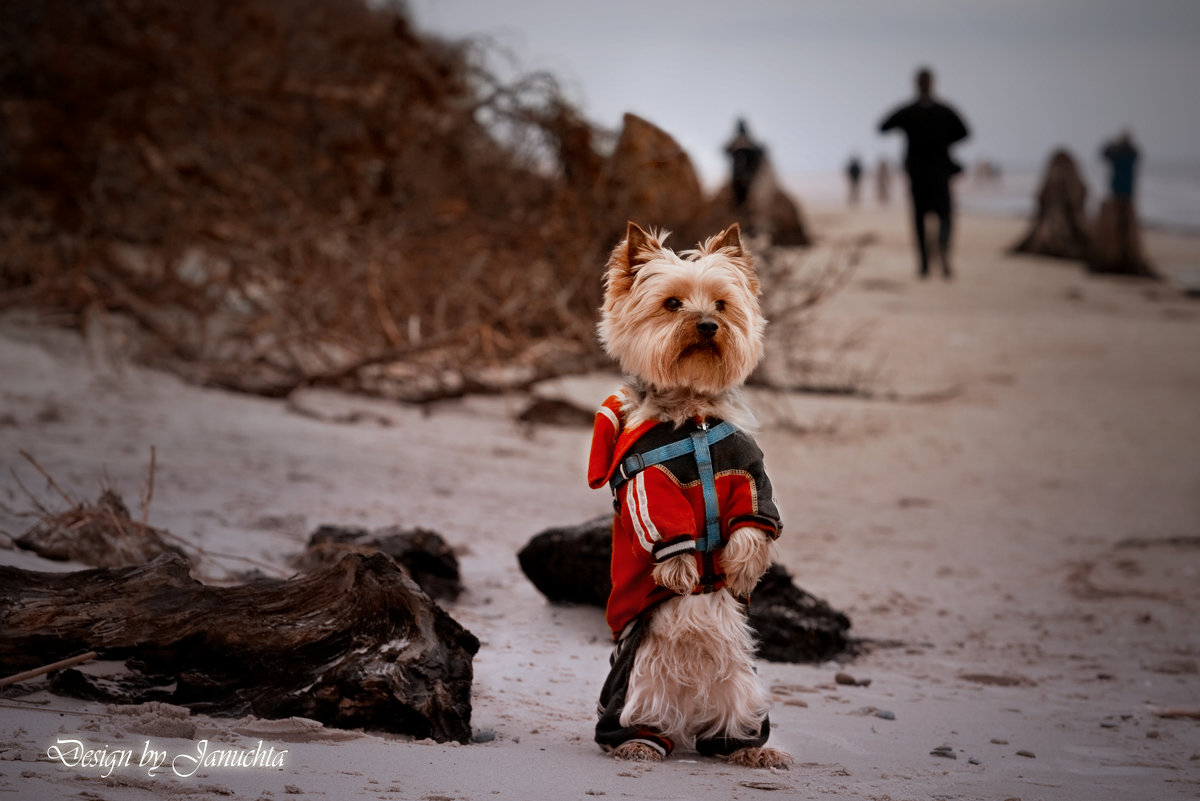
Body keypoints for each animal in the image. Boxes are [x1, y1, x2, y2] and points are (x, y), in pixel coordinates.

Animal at [585, 219, 792, 767]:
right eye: (672, 303)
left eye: (721, 304)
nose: (706, 326)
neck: (693, 414)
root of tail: (689, 703)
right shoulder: (648, 481)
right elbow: (667, 522)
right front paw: (680, 570)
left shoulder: (750, 473)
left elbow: (754, 521)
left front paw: (741, 567)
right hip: (634, 677)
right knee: (631, 716)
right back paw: (638, 745)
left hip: (744, 685)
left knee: (734, 725)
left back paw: (753, 753)